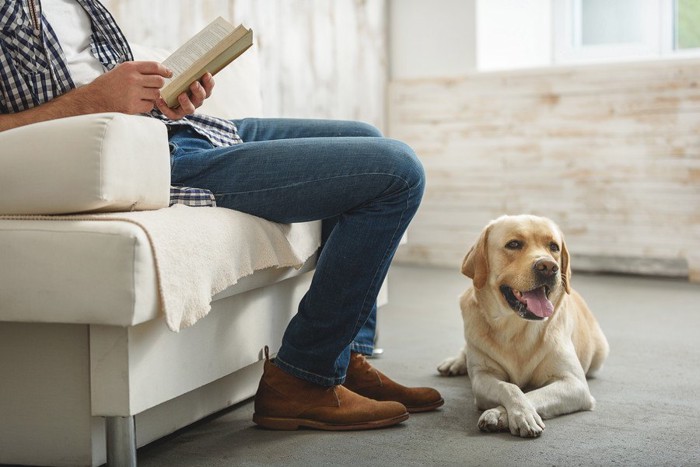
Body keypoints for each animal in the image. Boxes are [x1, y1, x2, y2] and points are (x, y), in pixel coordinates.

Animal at [438, 215, 608, 438]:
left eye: (554, 247)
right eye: (514, 244)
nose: (548, 267)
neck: (517, 329)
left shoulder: (574, 383)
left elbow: (533, 394)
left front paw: (506, 414)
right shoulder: (482, 377)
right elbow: (509, 387)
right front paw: (515, 412)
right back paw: (454, 362)